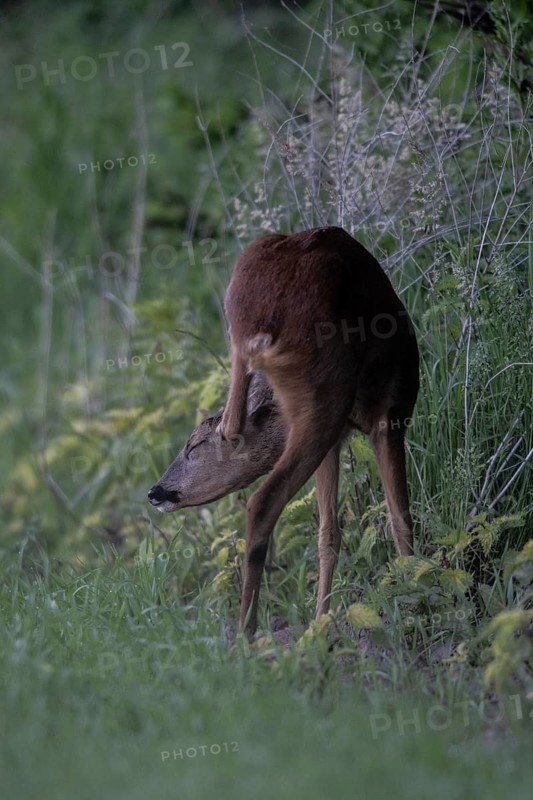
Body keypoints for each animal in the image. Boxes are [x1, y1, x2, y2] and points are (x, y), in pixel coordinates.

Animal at [148, 226, 420, 637]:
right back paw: (246, 632)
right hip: (324, 399)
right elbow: (400, 515)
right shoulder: (391, 414)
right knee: (262, 502)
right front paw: (422, 588)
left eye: (193, 445)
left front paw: (321, 624)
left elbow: (329, 532)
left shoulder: (338, 441)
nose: (155, 491)